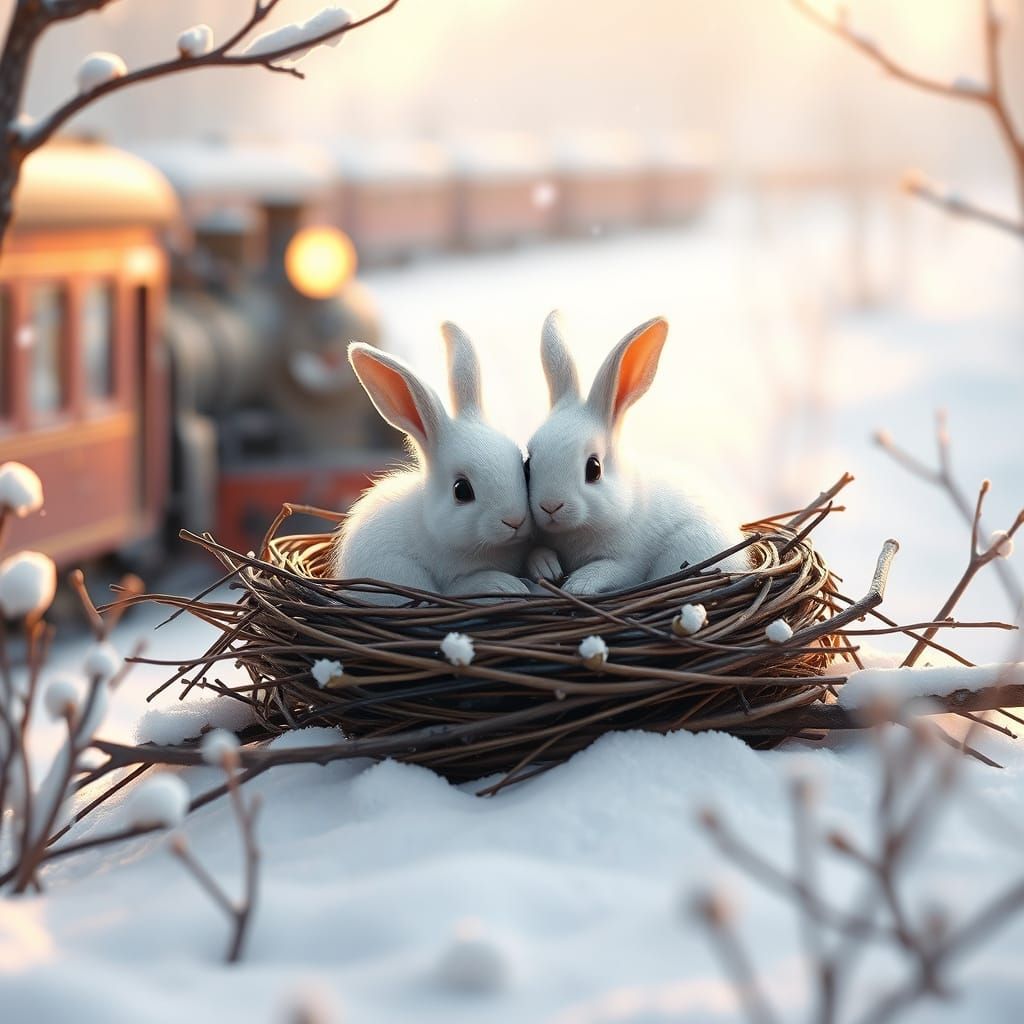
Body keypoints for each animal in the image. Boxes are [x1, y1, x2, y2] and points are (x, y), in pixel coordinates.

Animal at [332, 322, 532, 601]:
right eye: (461, 490)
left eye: (522, 465)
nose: (514, 520)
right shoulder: (447, 581)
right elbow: (456, 589)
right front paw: (504, 585)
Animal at [524, 311, 750, 595]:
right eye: (527, 464)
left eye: (594, 469)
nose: (550, 506)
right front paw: (546, 567)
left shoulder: (628, 563)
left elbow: (606, 569)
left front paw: (578, 586)